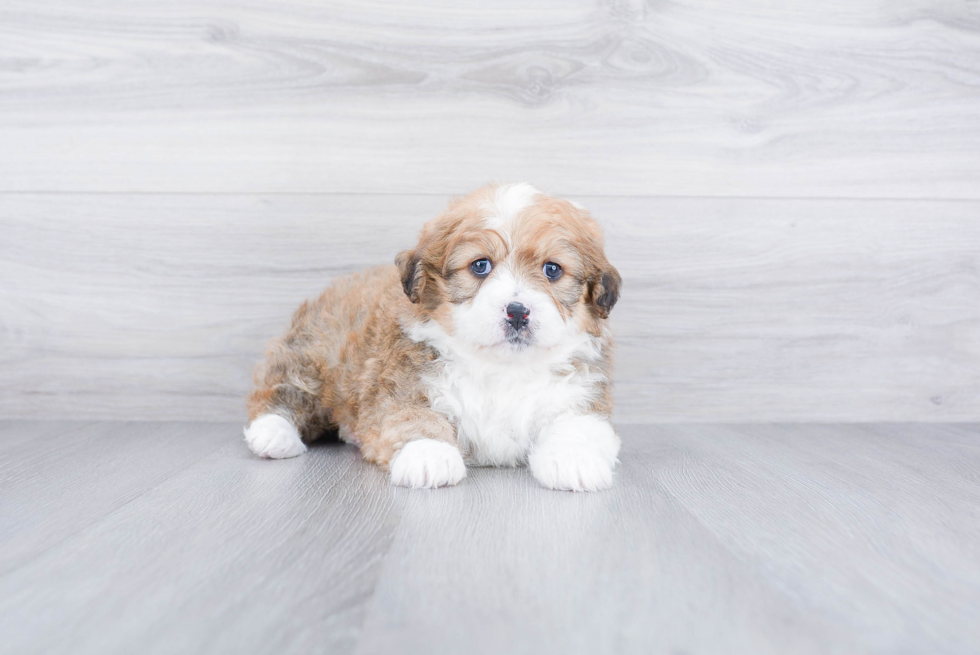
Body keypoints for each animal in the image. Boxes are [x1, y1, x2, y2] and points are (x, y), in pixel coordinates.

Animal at [243, 182, 620, 490]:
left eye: (552, 270)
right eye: (480, 266)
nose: (517, 311)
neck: (501, 367)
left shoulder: (579, 394)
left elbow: (578, 424)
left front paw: (574, 459)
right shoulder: (403, 387)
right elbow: (415, 418)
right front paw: (428, 453)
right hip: (311, 355)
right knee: (282, 392)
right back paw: (272, 433)